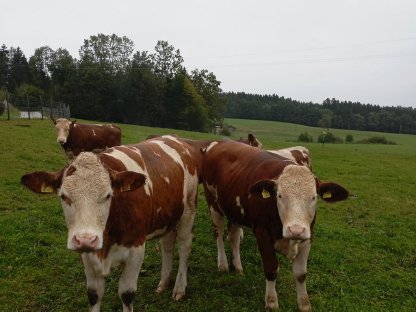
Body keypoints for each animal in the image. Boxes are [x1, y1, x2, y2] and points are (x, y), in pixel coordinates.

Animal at [22, 136, 201, 312]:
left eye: (108, 195)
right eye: (63, 196)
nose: (86, 240)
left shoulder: (136, 249)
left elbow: (127, 294)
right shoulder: (86, 254)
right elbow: (94, 294)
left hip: (188, 211)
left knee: (184, 247)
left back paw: (179, 288)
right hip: (168, 218)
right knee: (167, 245)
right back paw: (163, 283)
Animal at [202, 140, 348, 310]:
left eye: (314, 197)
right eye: (279, 195)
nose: (296, 230)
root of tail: (220, 142)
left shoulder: (308, 236)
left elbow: (301, 273)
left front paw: (304, 304)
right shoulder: (262, 234)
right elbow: (271, 268)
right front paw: (271, 302)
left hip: (234, 211)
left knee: (234, 238)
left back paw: (237, 266)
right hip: (213, 202)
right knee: (218, 233)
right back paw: (223, 264)